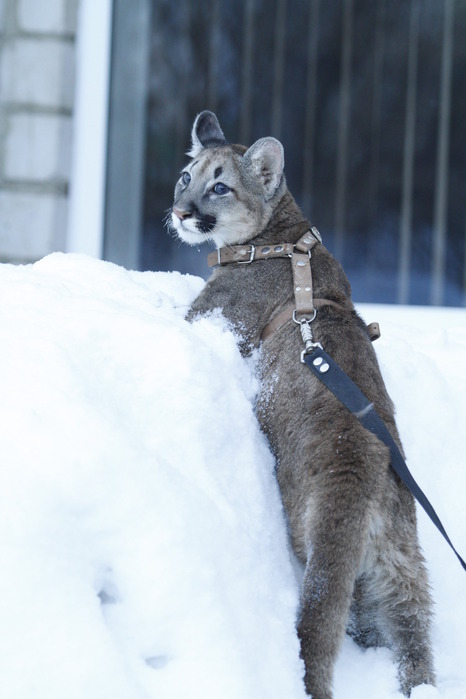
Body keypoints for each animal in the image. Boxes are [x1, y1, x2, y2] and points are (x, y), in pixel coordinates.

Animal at [169, 110, 436, 699]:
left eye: (219, 186)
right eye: (186, 178)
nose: (180, 212)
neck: (281, 239)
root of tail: (361, 472)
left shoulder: (215, 317)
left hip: (308, 533)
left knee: (323, 620)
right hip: (401, 564)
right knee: (407, 629)